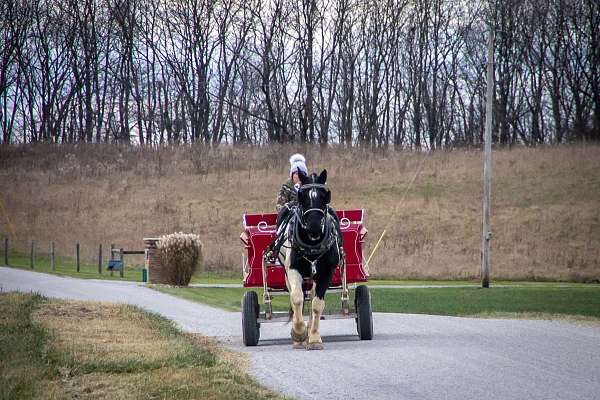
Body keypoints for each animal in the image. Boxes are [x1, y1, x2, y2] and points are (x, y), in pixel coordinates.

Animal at [282, 169, 342, 350]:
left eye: (324, 196)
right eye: (302, 196)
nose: (314, 226)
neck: (312, 245)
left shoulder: (326, 273)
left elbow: (317, 305)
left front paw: (314, 338)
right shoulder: (293, 269)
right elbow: (297, 298)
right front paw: (299, 333)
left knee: (313, 296)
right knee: (295, 297)